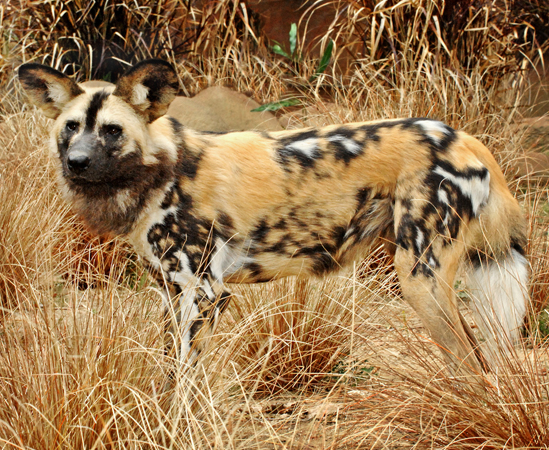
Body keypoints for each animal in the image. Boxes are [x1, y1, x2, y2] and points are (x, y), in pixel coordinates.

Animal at [19, 59, 528, 384]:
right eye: (70, 128)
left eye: (112, 131)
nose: (77, 163)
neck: (159, 174)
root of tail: (468, 140)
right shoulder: (170, 293)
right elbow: (166, 374)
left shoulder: (206, 294)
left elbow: (182, 385)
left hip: (420, 279)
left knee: (474, 368)